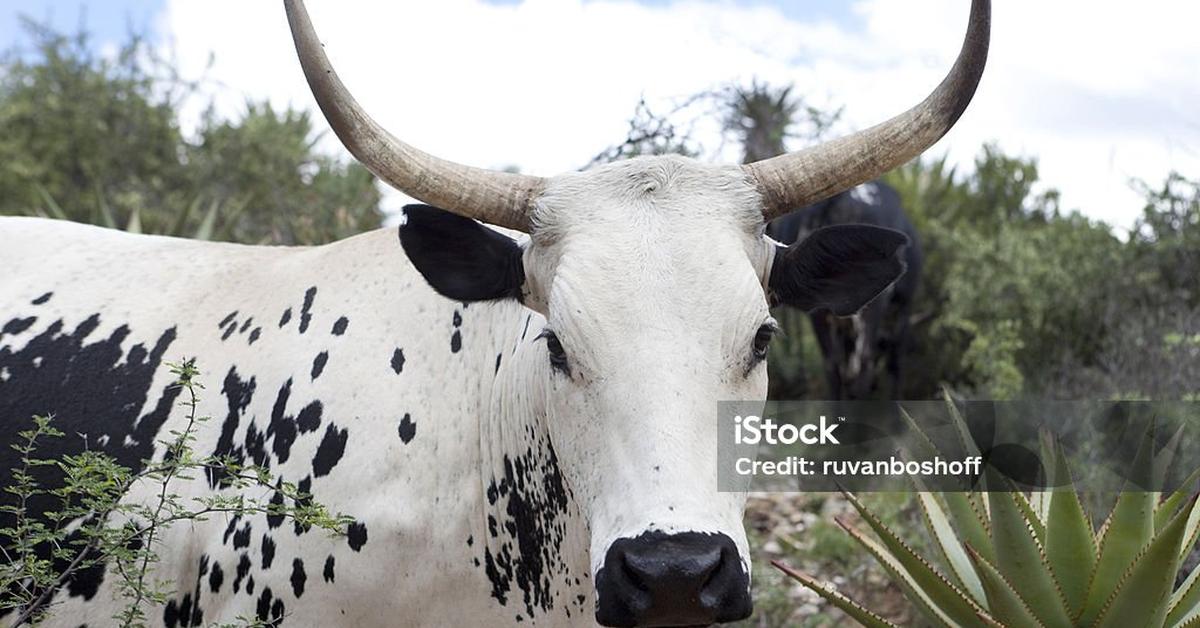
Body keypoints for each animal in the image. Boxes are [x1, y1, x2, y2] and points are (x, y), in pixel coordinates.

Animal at [763, 178, 921, 401]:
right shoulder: (903, 312)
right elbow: (895, 366)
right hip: (872, 311)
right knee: (863, 367)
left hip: (821, 313)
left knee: (834, 368)